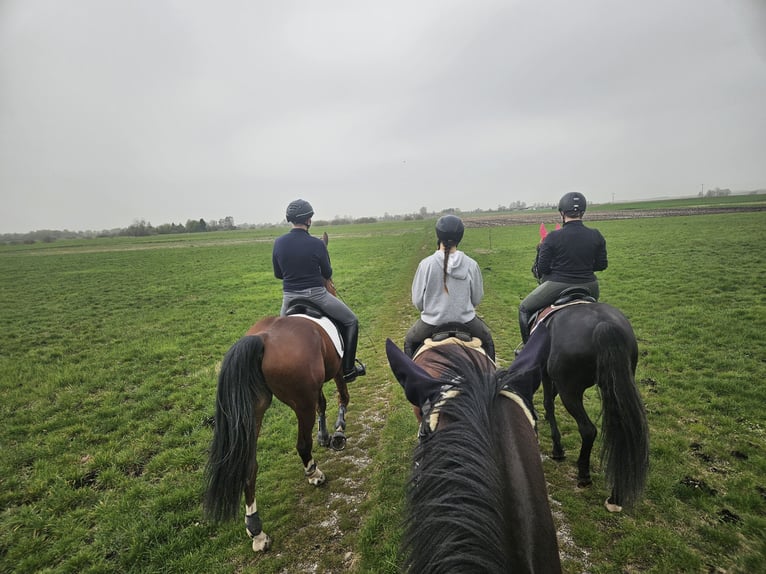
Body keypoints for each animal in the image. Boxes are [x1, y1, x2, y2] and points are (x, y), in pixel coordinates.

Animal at [202, 256, 350, 552]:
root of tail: (261, 339)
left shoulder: (315, 385)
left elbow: (323, 403)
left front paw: (325, 435)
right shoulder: (337, 370)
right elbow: (340, 396)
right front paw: (338, 431)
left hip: (253, 413)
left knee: (249, 465)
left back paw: (256, 531)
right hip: (300, 402)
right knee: (301, 444)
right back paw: (314, 474)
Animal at [544, 302, 652, 512]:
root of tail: (604, 324)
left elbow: (548, 401)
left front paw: (557, 449)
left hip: (570, 390)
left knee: (588, 430)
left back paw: (584, 475)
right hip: (614, 386)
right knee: (622, 432)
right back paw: (616, 497)